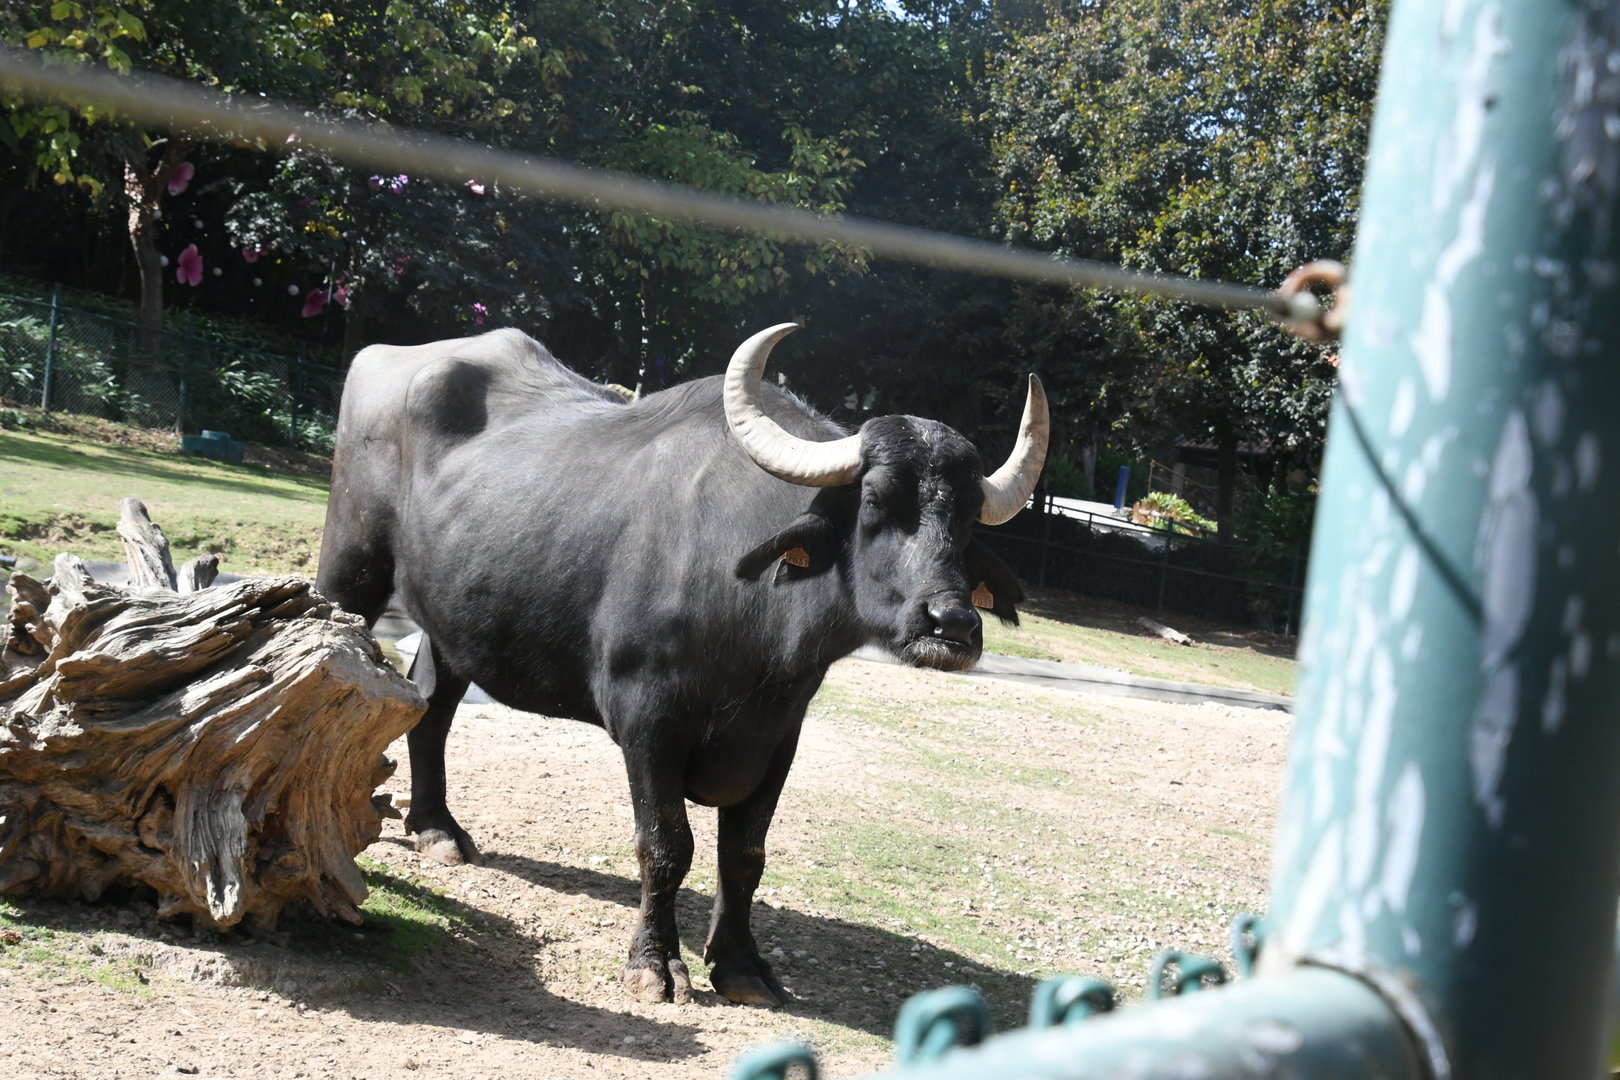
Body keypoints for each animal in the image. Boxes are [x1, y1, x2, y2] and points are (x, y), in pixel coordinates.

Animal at [316, 323, 1048, 1006]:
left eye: (969, 520)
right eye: (875, 500)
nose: (952, 626)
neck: (755, 633)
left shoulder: (779, 735)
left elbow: (745, 853)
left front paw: (743, 966)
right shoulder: (648, 724)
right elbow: (667, 845)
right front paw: (654, 964)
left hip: (455, 619)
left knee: (433, 707)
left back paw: (437, 829)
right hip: (351, 570)